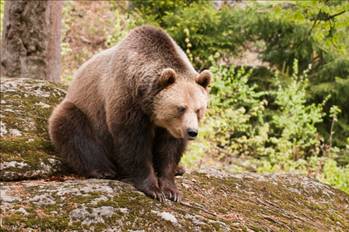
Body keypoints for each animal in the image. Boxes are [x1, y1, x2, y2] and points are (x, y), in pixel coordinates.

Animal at [48, 25, 212, 201]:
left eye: (198, 109)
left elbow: (170, 149)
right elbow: (133, 143)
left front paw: (171, 190)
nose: (192, 132)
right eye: (181, 108)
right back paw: (103, 170)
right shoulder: (128, 99)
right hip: (85, 112)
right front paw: (153, 189)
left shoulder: (171, 127)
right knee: (70, 125)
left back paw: (180, 169)